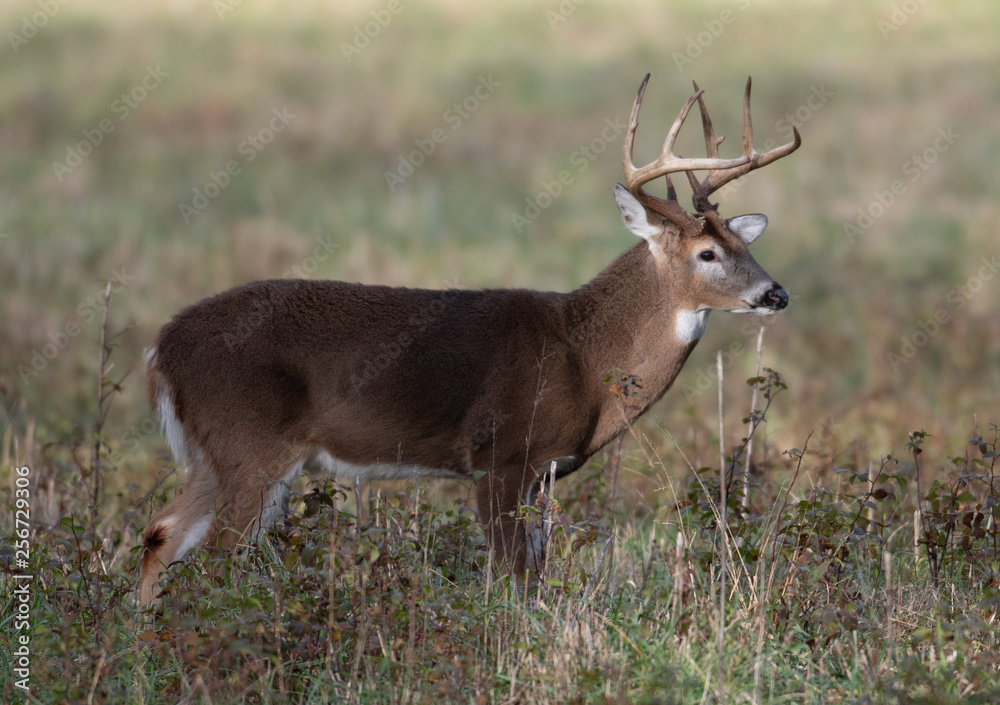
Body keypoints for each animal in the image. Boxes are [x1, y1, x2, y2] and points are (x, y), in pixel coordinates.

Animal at [139, 74, 800, 606]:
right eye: (707, 253)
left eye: (745, 244)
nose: (776, 294)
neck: (586, 358)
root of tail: (160, 349)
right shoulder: (500, 456)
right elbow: (514, 576)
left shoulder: (540, 473)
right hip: (252, 443)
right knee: (214, 555)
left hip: (216, 452)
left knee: (160, 534)